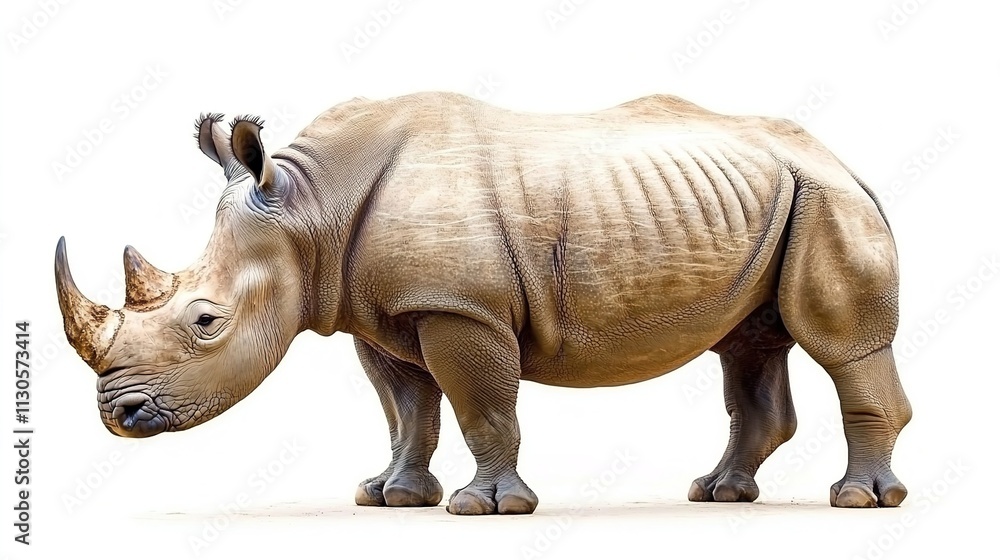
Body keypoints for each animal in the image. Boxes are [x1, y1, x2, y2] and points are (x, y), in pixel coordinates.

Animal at [55, 92, 911, 515]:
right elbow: (407, 411)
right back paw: (718, 496)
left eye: (205, 323)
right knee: (749, 344)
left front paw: (484, 508)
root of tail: (843, 157)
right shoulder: (384, 313)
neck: (309, 212)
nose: (119, 416)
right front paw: (389, 497)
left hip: (826, 201)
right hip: (771, 199)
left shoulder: (461, 307)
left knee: (839, 346)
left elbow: (481, 406)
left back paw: (860, 502)